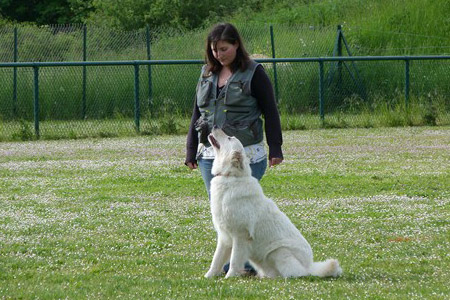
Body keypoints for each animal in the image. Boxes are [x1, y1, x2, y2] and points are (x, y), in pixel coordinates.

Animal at [204, 128, 342, 278]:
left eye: (229, 138)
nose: (214, 127)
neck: (230, 177)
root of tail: (309, 267)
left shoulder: (240, 236)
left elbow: (234, 261)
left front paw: (229, 277)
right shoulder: (224, 237)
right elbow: (216, 260)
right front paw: (208, 277)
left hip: (280, 252)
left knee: (296, 274)